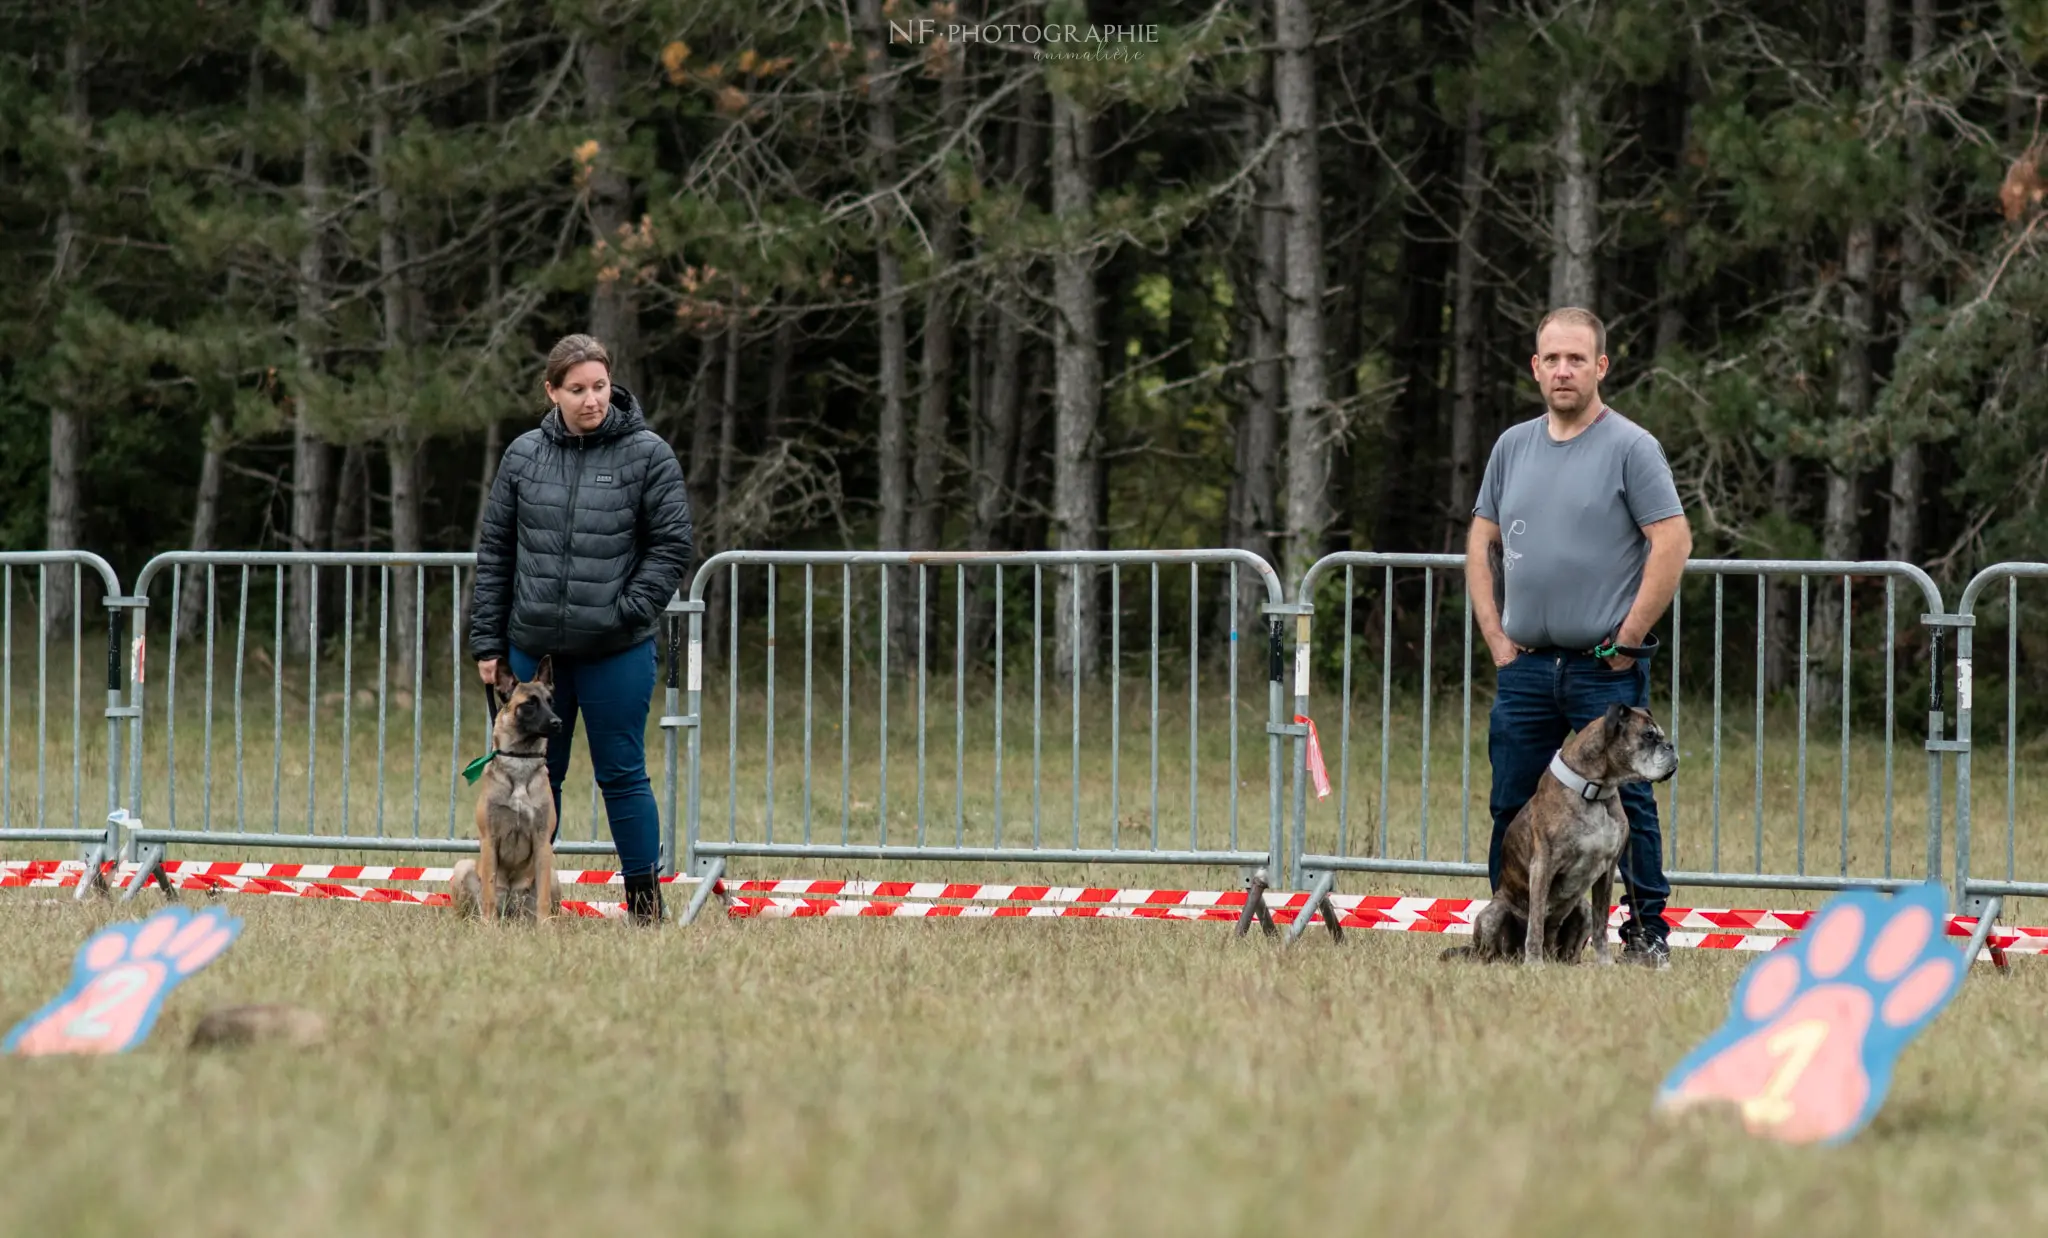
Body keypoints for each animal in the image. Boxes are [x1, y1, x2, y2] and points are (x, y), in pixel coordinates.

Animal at [454, 655, 565, 918]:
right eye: (530, 703)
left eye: (550, 701)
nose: (558, 722)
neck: (520, 761)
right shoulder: (489, 839)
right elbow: (488, 892)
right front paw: (489, 924)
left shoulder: (543, 841)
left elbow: (543, 897)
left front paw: (544, 926)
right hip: (462, 866)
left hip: (554, 875)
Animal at [1449, 700, 1671, 963]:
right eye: (1648, 735)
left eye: (1660, 736)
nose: (1670, 746)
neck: (1595, 791)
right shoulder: (1543, 866)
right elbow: (1536, 923)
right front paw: (1534, 963)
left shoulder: (1607, 871)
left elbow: (1601, 924)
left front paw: (1605, 963)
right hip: (1494, 913)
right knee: (1491, 951)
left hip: (1582, 910)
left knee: (1570, 950)